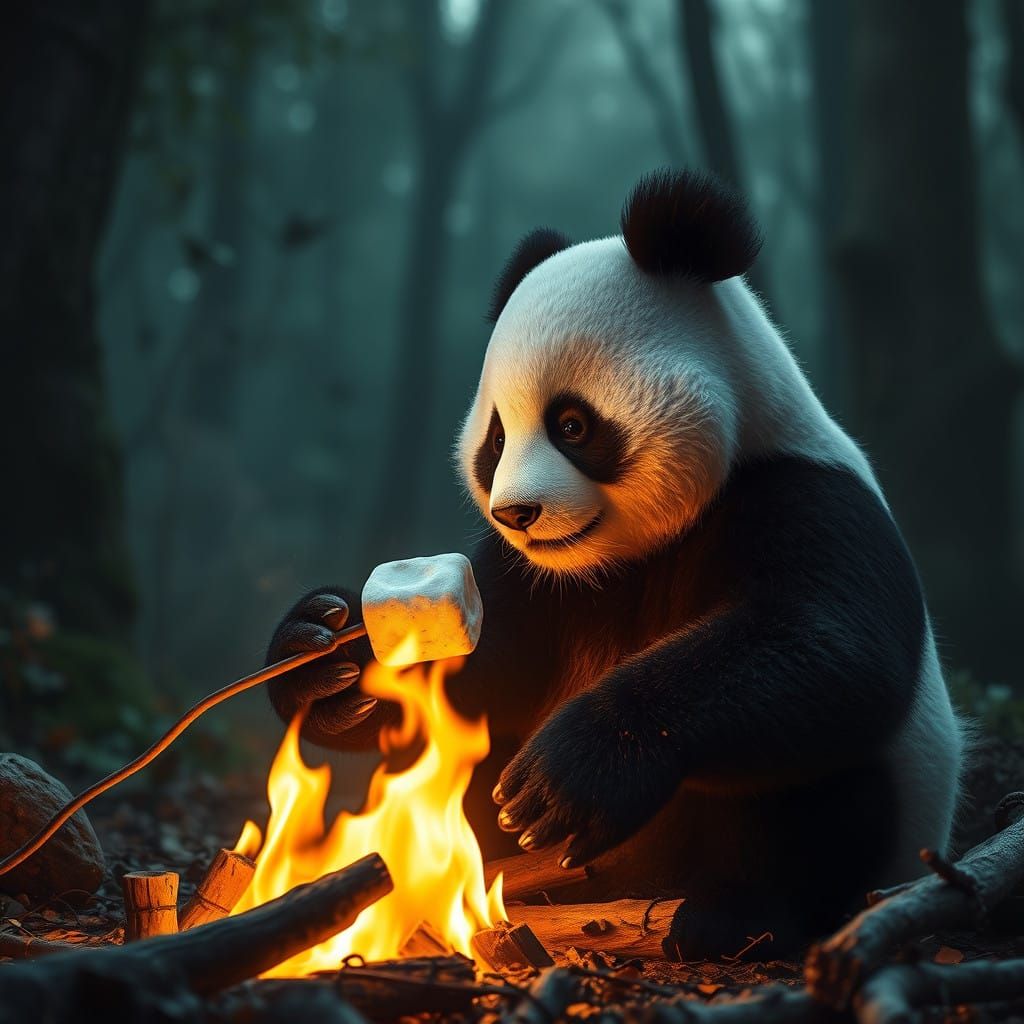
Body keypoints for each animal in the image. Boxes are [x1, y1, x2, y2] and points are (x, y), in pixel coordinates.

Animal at [266, 169, 965, 959]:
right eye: (496, 439)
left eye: (572, 425)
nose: (516, 513)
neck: (635, 549)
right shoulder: (542, 580)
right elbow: (477, 677)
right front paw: (322, 654)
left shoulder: (800, 493)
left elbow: (831, 645)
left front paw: (568, 776)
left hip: (874, 827)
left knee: (820, 788)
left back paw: (737, 916)